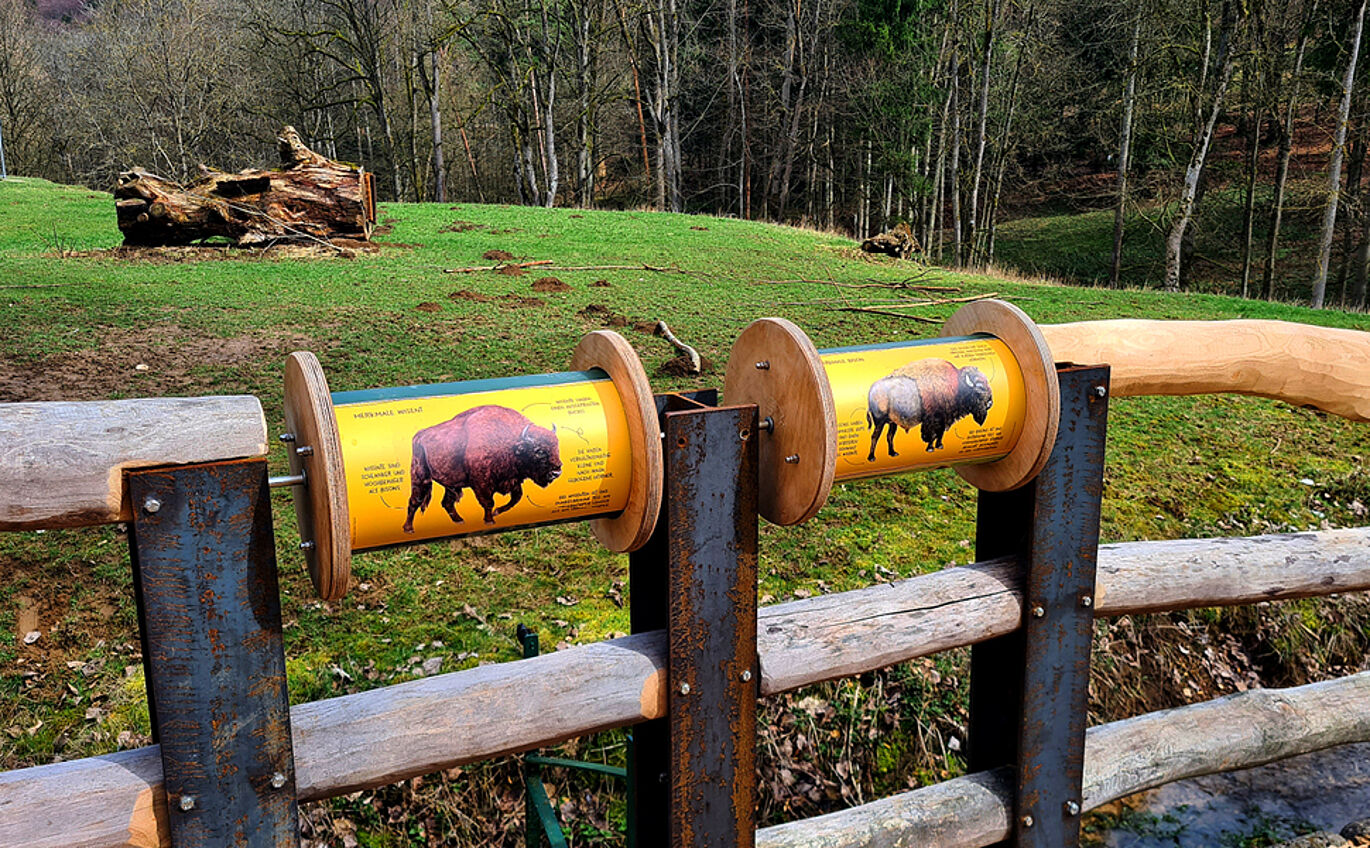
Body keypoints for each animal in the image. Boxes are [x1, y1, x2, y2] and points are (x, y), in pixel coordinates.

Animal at [400, 405, 561, 531]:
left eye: (556, 447)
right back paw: (408, 529)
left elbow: (516, 498)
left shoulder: (512, 480)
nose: (557, 472)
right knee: (414, 501)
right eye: (539, 452)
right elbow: (488, 502)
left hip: (451, 484)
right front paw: (490, 521)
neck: (511, 444)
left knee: (447, 502)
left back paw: (459, 521)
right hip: (420, 477)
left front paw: (497, 512)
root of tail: (419, 436)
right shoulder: (482, 483)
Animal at [865, 358, 997, 465]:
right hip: (879, 421)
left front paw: (939, 446)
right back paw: (871, 457)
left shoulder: (944, 418)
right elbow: (932, 434)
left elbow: (940, 433)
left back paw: (893, 453)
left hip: (892, 422)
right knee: (875, 436)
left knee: (889, 436)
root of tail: (872, 389)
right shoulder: (933, 419)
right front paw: (930, 448)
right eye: (980, 389)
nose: (990, 403)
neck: (958, 385)